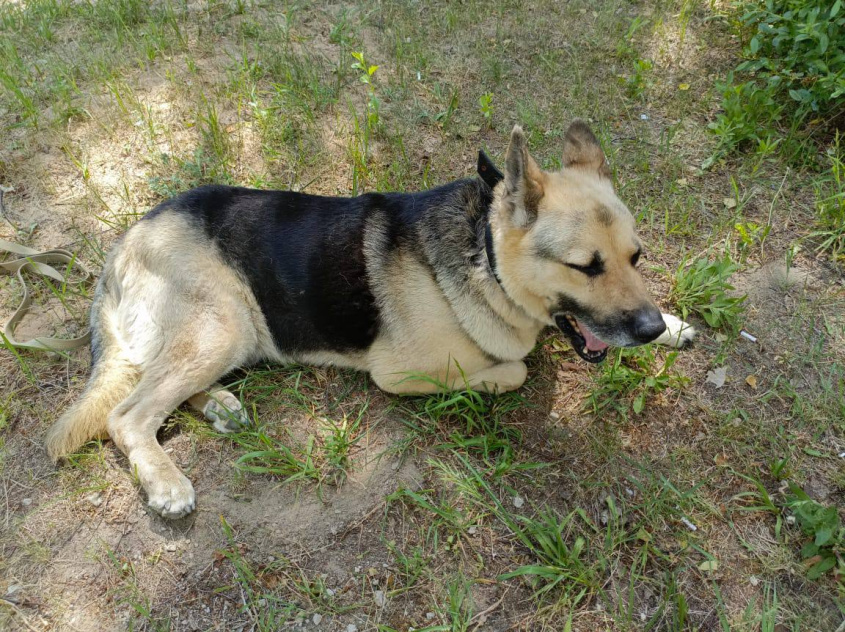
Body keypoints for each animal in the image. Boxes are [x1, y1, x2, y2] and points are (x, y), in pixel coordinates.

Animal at [44, 122, 692, 520]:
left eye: (636, 258)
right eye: (586, 267)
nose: (647, 330)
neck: (483, 254)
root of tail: (124, 244)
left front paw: (674, 325)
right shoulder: (400, 374)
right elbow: (516, 369)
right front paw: (503, 371)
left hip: (231, 333)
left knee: (158, 384)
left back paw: (219, 405)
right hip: (221, 325)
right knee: (128, 413)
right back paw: (164, 481)